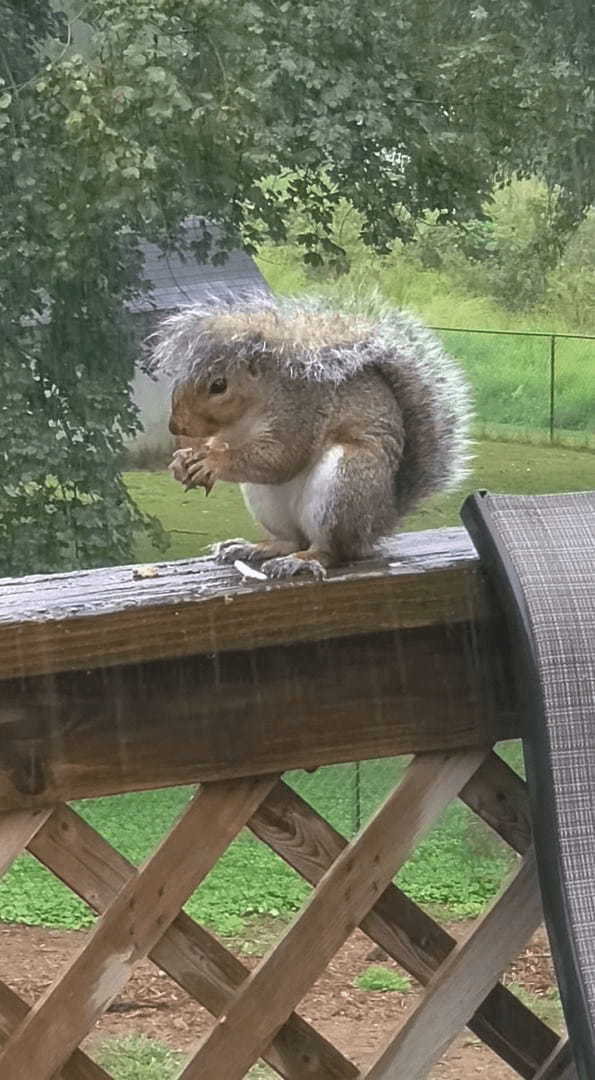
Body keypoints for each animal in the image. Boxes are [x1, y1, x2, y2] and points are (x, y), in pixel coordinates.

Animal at [151, 291, 472, 578]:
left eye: (219, 385)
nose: (176, 427)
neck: (251, 409)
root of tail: (381, 520)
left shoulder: (300, 412)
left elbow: (280, 458)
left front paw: (211, 461)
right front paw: (182, 461)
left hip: (347, 482)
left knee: (332, 551)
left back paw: (301, 561)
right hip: (264, 500)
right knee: (291, 540)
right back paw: (255, 548)